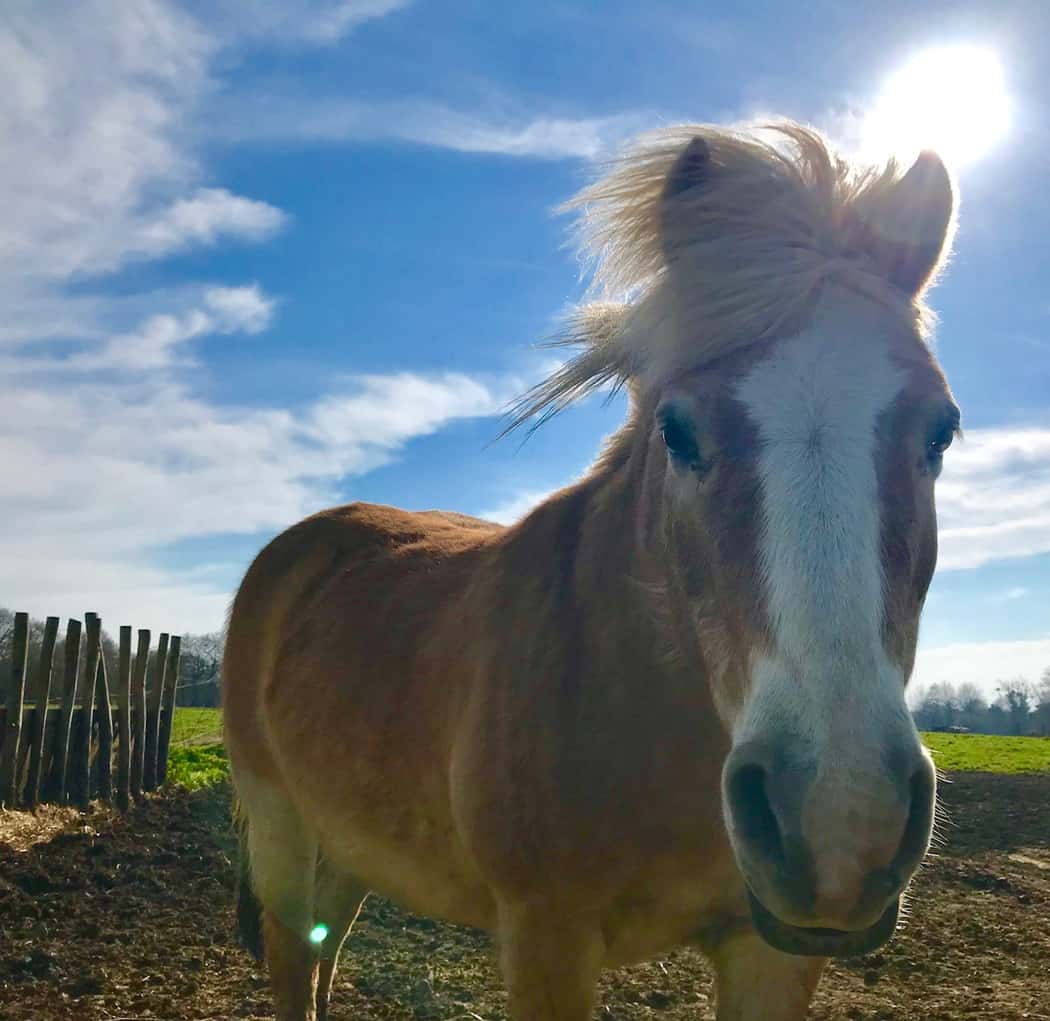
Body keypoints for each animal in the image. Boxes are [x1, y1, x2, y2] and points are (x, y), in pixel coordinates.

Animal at [223, 121, 960, 1021]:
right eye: (678, 431)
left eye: (941, 431)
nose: (840, 819)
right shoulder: (546, 937)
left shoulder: (772, 953)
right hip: (284, 833)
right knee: (297, 962)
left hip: (352, 846)